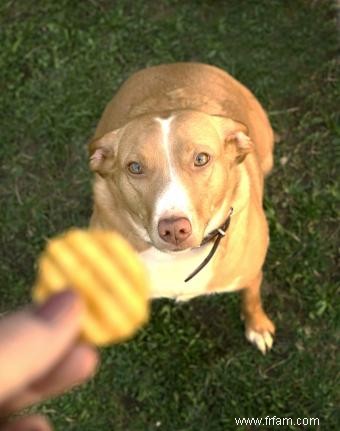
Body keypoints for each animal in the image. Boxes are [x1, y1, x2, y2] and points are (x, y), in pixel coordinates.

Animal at [88, 64, 276, 354]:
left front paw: (257, 326)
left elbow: (251, 299)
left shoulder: (251, 274)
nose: (174, 229)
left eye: (201, 158)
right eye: (135, 167)